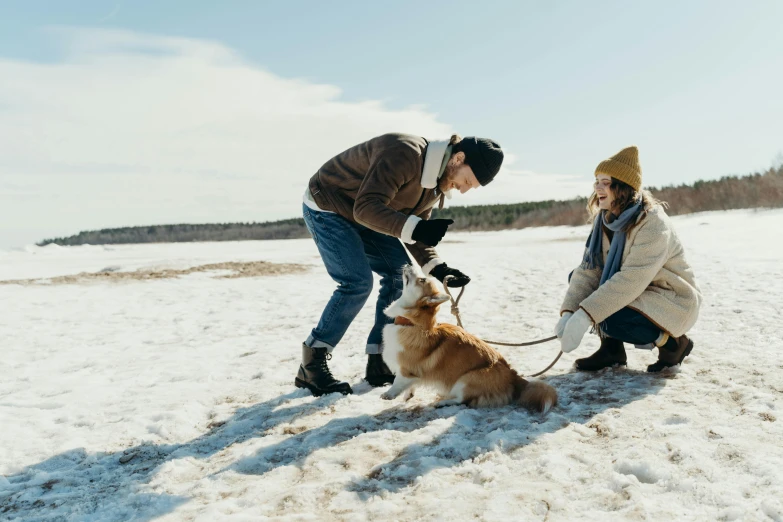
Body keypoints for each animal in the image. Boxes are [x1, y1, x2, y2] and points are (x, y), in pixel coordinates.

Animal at [382, 264, 556, 410]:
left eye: (422, 279)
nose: (408, 264)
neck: (412, 323)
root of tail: (514, 376)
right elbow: (410, 386)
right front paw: (408, 396)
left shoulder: (406, 369)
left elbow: (398, 382)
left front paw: (389, 394)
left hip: (466, 379)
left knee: (462, 400)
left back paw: (443, 402)